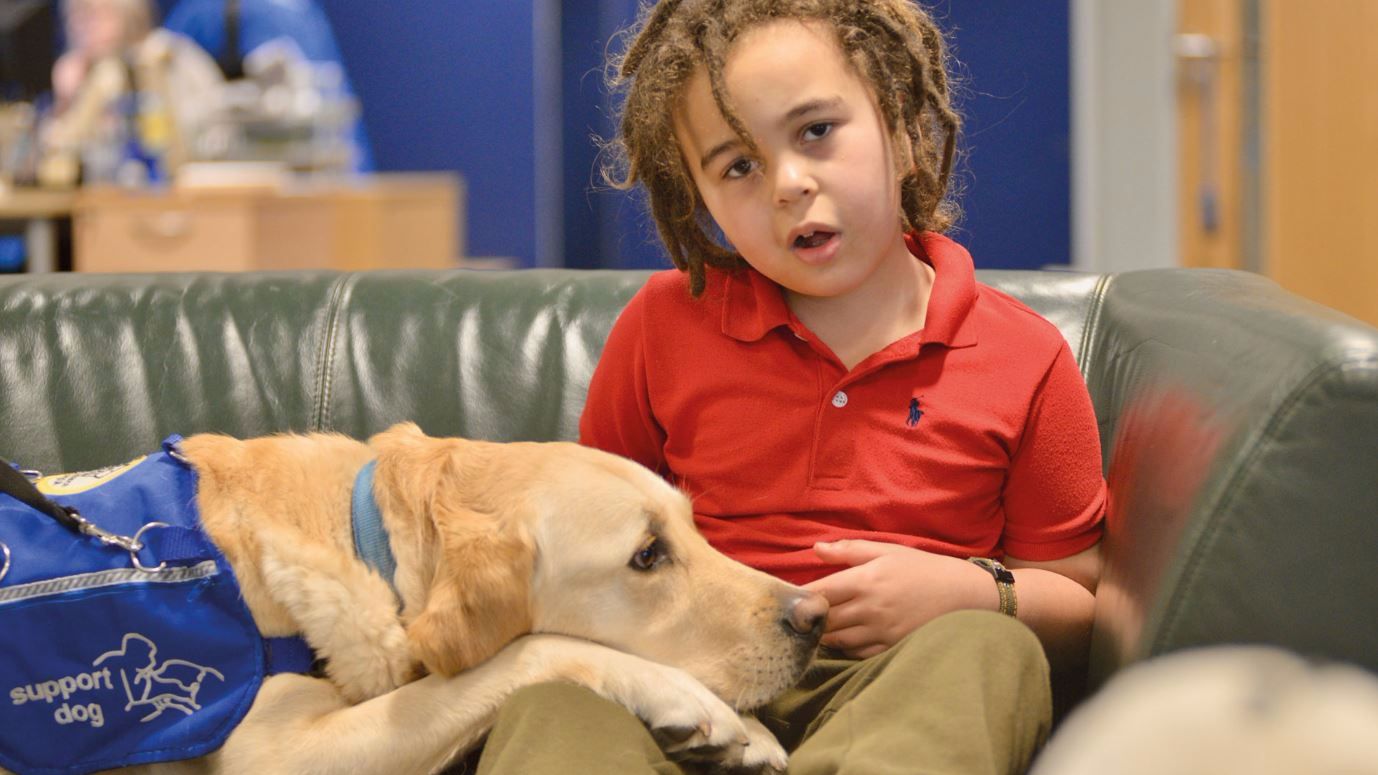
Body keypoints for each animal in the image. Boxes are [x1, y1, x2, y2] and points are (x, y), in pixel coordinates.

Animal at [5, 421, 821, 772]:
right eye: (647, 554)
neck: (358, 533)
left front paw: (753, 733)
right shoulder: (270, 752)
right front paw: (696, 704)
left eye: (693, 525)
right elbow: (533, 651)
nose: (813, 618)